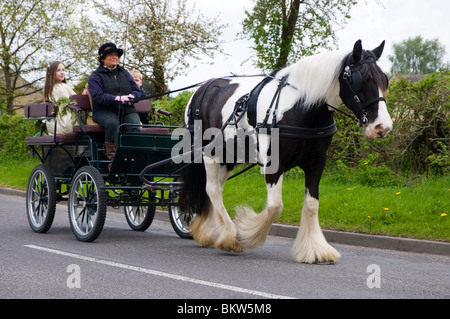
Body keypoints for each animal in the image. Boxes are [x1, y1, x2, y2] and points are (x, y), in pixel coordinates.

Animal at [181, 40, 392, 264]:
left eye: (384, 79)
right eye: (362, 79)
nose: (383, 127)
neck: (302, 109)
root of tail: (201, 90)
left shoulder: (317, 163)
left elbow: (311, 204)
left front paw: (316, 250)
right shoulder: (274, 164)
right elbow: (275, 206)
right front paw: (247, 233)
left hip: (227, 157)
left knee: (215, 190)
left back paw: (212, 233)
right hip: (209, 153)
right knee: (212, 189)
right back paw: (230, 236)